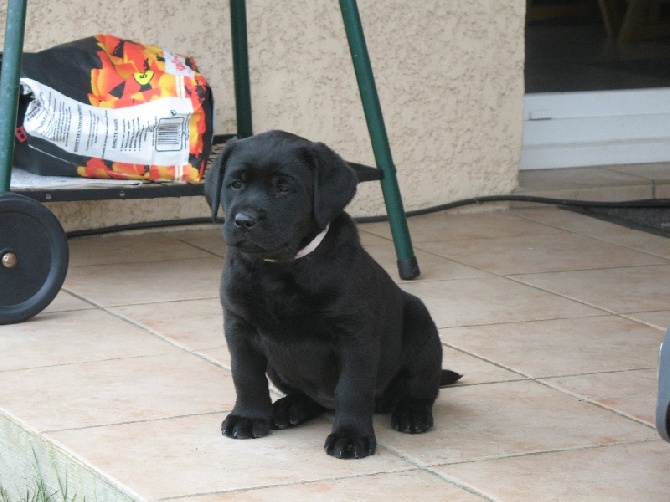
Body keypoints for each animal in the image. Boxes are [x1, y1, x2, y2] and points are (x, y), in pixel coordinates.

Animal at [206, 130, 462, 458]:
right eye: (236, 184)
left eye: (283, 187)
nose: (243, 220)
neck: (281, 269)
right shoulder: (239, 326)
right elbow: (245, 375)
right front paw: (248, 417)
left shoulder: (355, 335)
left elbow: (352, 388)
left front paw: (351, 436)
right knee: (307, 396)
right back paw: (289, 409)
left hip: (422, 329)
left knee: (422, 389)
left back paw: (411, 413)